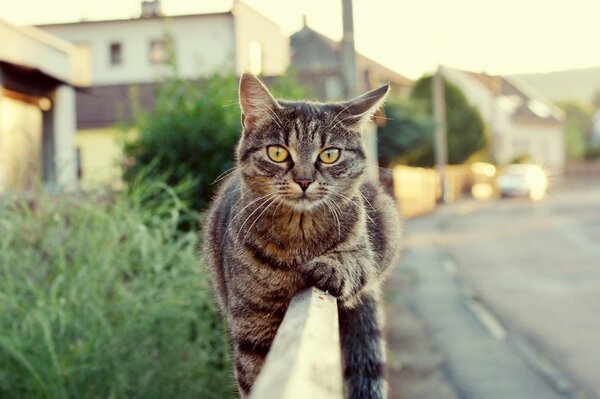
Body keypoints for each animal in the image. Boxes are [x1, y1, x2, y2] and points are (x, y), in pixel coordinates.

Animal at [203, 73, 404, 398]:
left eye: (330, 155)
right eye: (277, 152)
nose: (304, 180)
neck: (300, 235)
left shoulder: (365, 251)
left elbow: (353, 262)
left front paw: (329, 269)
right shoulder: (252, 328)